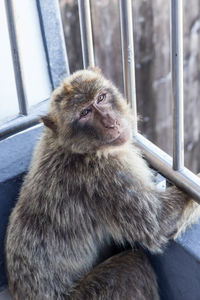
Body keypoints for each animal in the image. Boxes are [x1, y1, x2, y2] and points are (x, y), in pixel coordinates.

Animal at [5, 68, 199, 300]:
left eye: (101, 98)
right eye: (85, 112)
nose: (111, 122)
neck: (77, 148)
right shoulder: (106, 175)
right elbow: (158, 223)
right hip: (92, 294)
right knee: (133, 264)